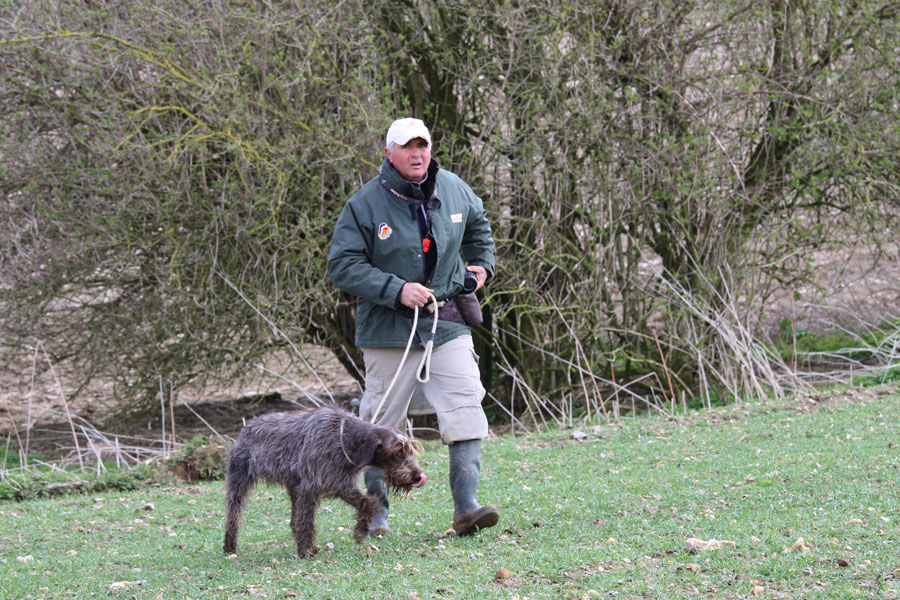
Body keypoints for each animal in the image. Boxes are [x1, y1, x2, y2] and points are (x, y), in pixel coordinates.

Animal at [221, 406, 426, 560]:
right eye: (396, 452)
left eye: (410, 451)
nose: (418, 476)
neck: (344, 439)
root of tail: (246, 427)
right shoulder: (310, 488)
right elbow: (307, 522)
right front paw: (305, 551)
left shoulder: (341, 484)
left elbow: (367, 502)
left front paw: (360, 529)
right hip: (239, 483)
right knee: (233, 516)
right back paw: (229, 546)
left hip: (294, 488)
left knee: (294, 520)